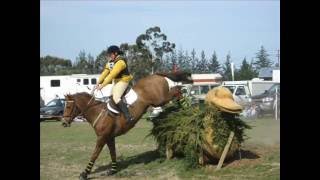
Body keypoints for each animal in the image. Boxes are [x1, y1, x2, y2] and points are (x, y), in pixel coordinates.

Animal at [62, 71, 192, 179]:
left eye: (68, 106)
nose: (64, 123)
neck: (98, 113)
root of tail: (156, 75)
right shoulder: (109, 137)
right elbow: (113, 153)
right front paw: (113, 170)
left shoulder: (102, 138)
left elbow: (94, 154)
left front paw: (84, 173)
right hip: (158, 101)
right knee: (176, 91)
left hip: (159, 100)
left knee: (176, 90)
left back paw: (187, 103)